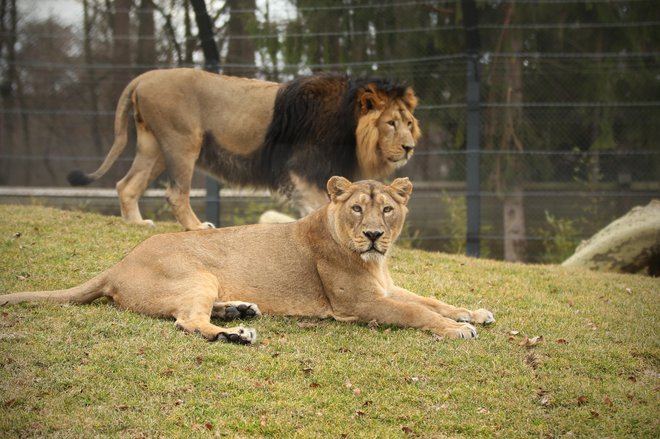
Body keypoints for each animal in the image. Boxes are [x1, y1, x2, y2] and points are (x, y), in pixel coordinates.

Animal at [1, 177, 496, 342]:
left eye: (387, 209)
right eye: (358, 208)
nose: (374, 235)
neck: (374, 262)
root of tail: (116, 264)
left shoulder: (386, 287)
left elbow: (431, 299)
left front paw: (473, 312)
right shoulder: (359, 304)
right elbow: (416, 312)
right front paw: (457, 329)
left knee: (192, 313)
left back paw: (238, 309)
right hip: (195, 274)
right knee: (187, 322)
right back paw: (236, 333)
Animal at [65, 68, 418, 230]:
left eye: (408, 123)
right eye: (390, 123)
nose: (409, 148)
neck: (349, 124)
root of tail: (144, 77)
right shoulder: (301, 167)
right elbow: (319, 205)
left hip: (154, 147)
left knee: (126, 185)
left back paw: (136, 223)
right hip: (182, 142)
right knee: (175, 194)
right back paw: (197, 227)